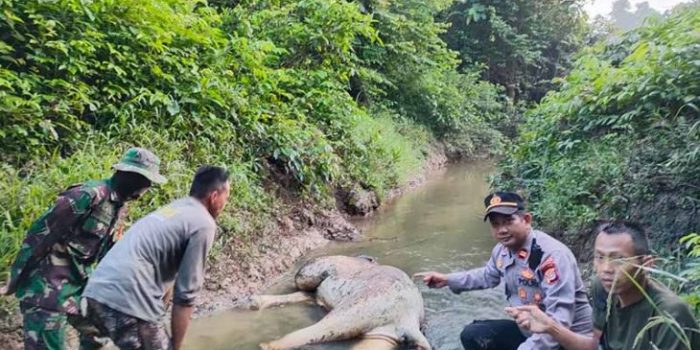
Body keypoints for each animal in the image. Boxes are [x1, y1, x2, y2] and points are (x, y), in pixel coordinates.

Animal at [249, 254, 430, 350]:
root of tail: (408, 321)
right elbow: (306, 294)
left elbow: (305, 286)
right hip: (383, 332)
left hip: (357, 309)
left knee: (323, 327)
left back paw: (265, 345)